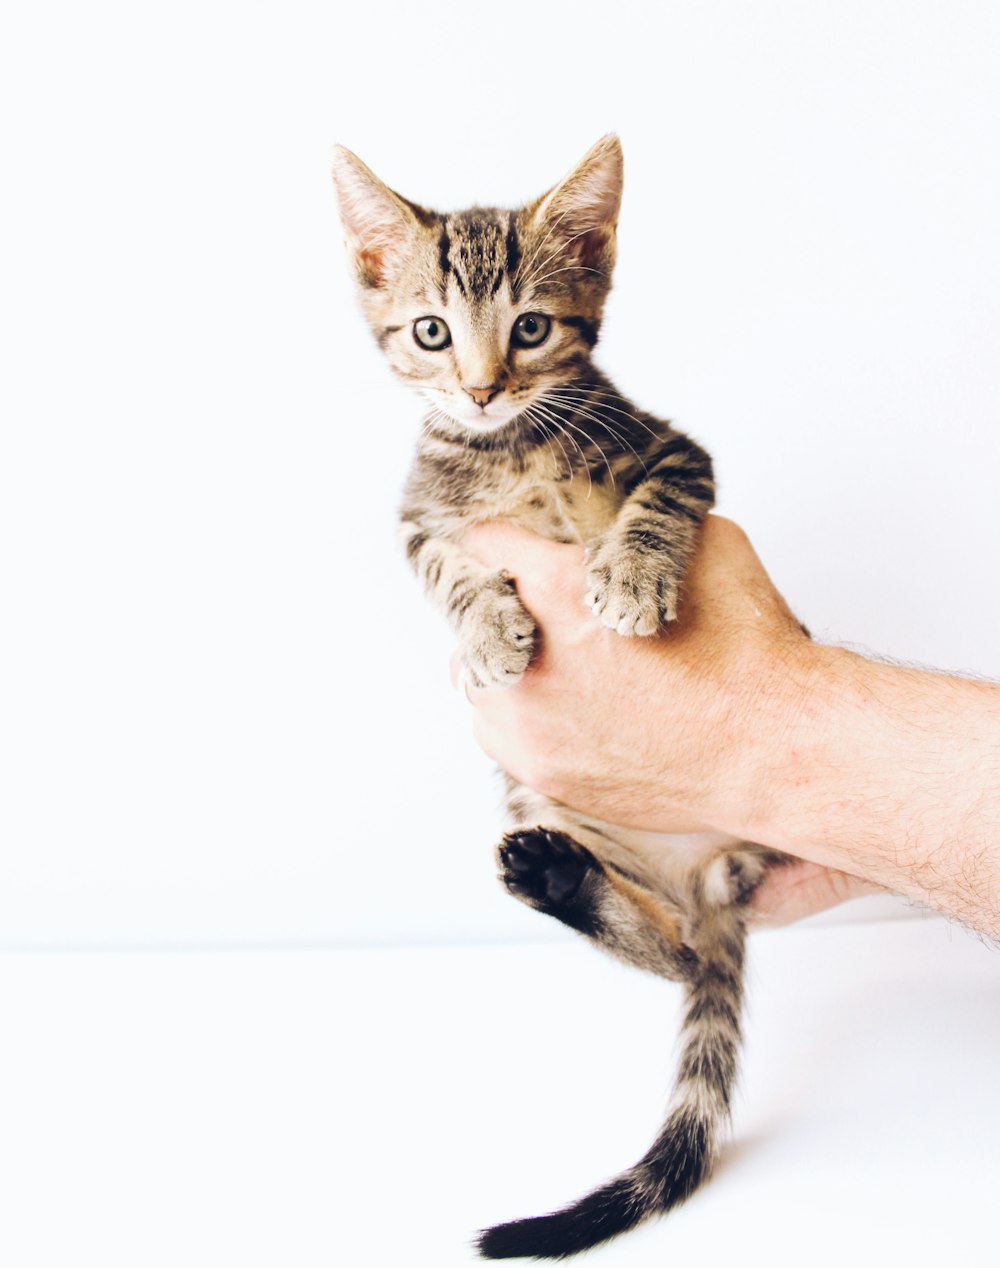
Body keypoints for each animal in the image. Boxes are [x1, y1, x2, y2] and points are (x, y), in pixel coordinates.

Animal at [332, 136, 785, 1257]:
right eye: (432, 331)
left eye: (530, 327)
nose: (482, 389)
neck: (508, 447)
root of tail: (706, 877)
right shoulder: (415, 515)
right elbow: (440, 565)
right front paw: (488, 630)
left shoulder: (676, 451)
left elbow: (658, 500)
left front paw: (630, 575)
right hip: (542, 801)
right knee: (675, 959)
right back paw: (555, 876)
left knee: (687, 962)